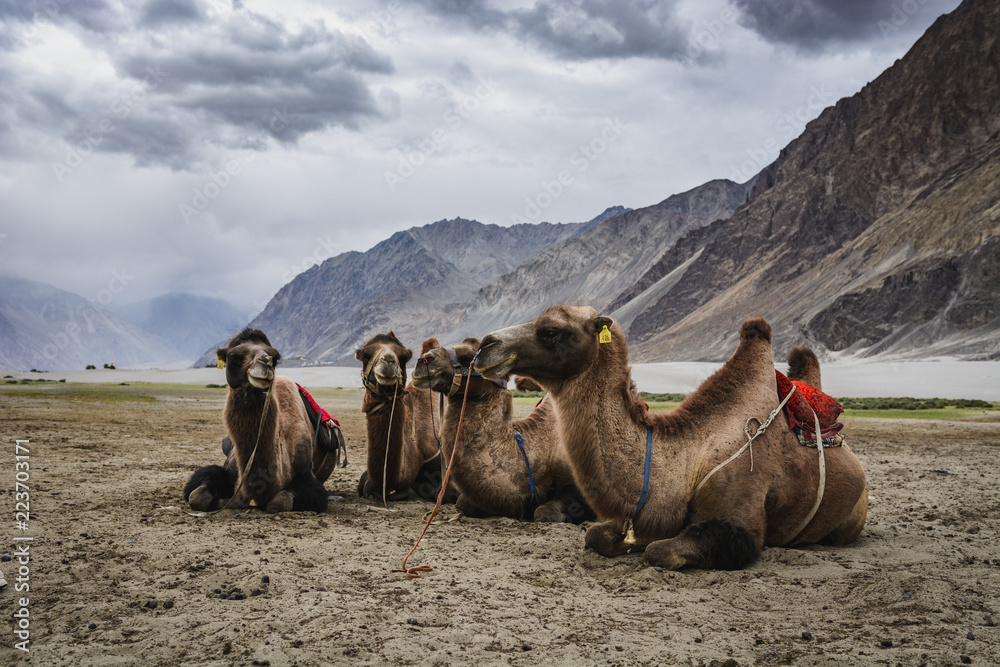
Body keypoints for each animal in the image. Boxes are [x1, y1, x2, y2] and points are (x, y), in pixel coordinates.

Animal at [183, 328, 335, 513]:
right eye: (233, 356)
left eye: (275, 357)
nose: (266, 362)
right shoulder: (228, 467)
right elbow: (197, 495)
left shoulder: (307, 476)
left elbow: (279, 502)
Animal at [474, 305, 868, 570]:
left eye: (551, 330)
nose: (485, 345)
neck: (688, 460)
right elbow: (596, 535)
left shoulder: (742, 521)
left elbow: (660, 550)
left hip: (850, 519)